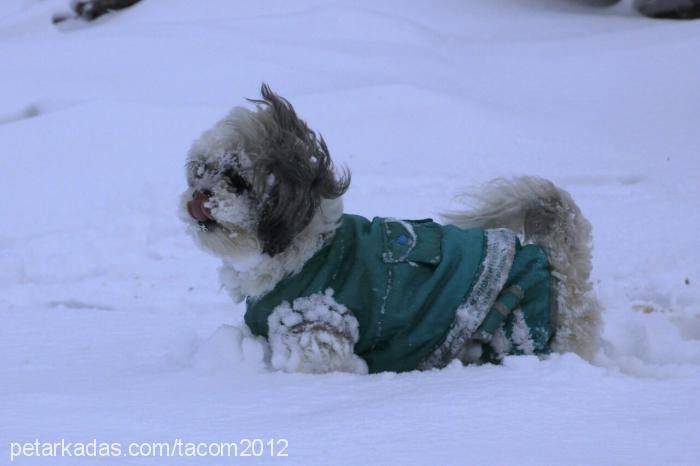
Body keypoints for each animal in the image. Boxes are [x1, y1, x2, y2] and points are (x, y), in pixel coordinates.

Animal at [178, 84, 600, 374]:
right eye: (199, 170)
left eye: (235, 180)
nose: (199, 194)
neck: (300, 253)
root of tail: (553, 263)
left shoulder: (318, 329)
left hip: (513, 327)